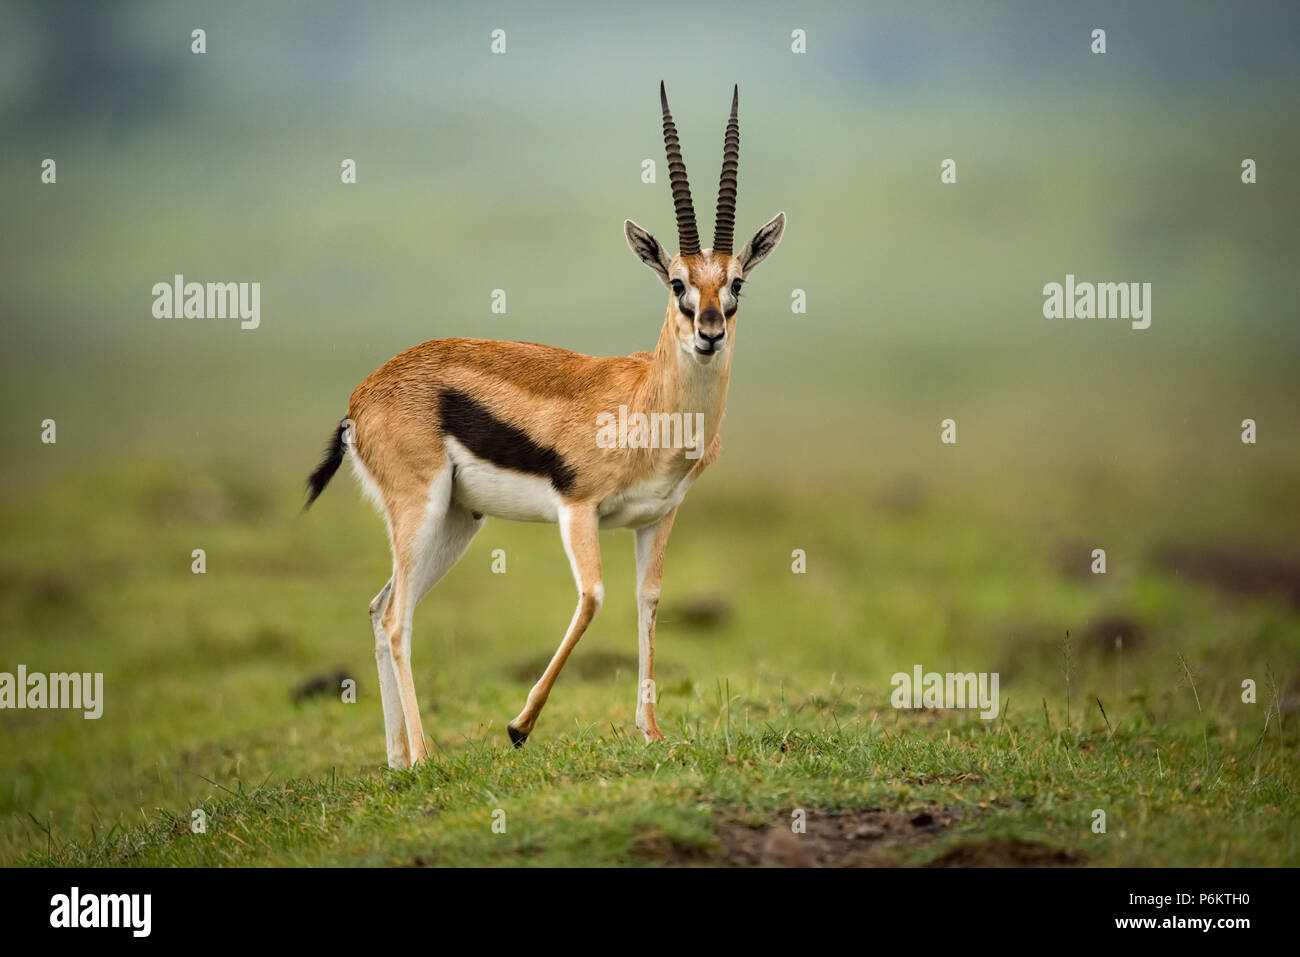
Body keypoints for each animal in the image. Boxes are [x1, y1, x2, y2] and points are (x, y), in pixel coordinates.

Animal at [304, 83, 785, 768]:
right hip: (420, 508)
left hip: (457, 521)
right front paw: (519, 726)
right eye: (677, 283)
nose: (710, 332)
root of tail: (363, 394)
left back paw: (398, 758)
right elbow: (593, 598)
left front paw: (652, 732)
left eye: (736, 281)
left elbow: (648, 602)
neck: (648, 405)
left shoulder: (658, 517)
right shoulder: (577, 508)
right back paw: (424, 755)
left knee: (379, 608)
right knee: (397, 618)